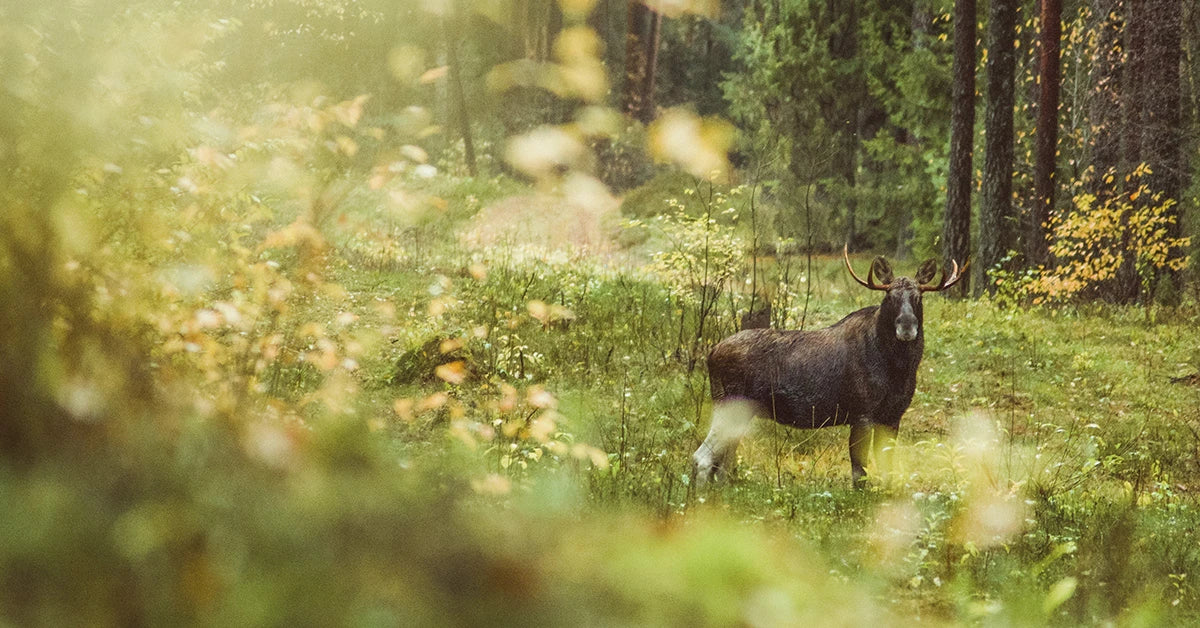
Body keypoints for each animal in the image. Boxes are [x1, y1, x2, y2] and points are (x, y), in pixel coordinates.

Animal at [691, 246, 960, 487]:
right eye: (889, 297)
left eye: (918, 297)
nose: (906, 326)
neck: (898, 368)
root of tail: (711, 354)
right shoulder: (862, 413)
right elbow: (859, 472)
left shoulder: (893, 416)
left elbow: (887, 470)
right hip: (729, 405)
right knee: (702, 457)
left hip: (742, 413)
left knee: (722, 464)